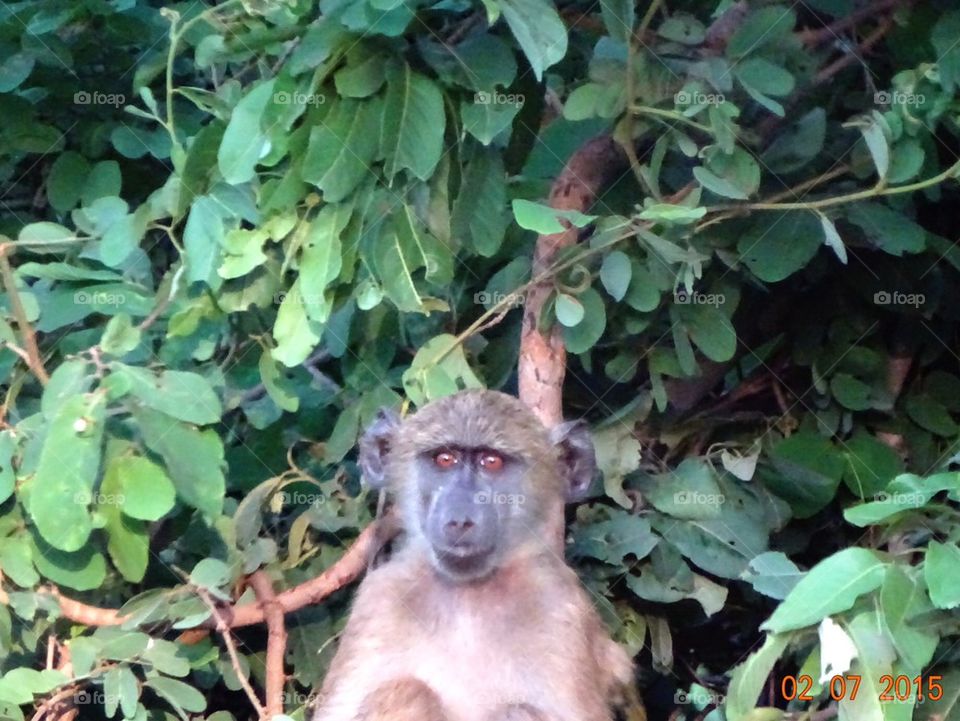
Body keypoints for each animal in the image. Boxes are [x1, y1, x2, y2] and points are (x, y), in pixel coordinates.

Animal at [313, 389, 635, 721]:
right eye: (445, 459)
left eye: (491, 462)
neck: (468, 593)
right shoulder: (380, 597)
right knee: (406, 691)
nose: (460, 519)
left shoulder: (561, 605)